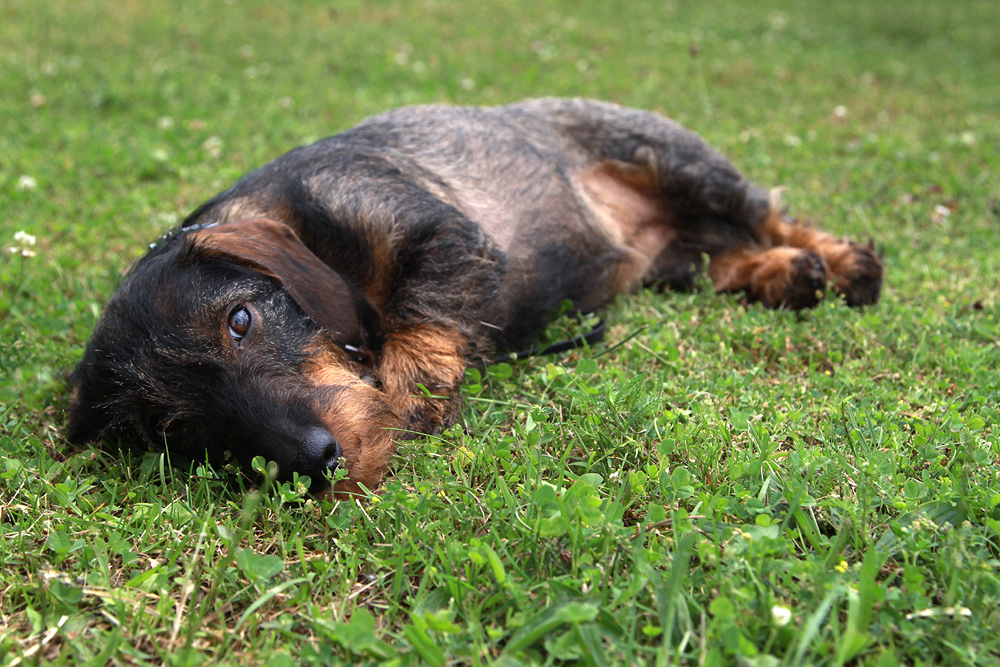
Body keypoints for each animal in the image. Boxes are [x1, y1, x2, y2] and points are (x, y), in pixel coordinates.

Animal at [68, 99, 884, 496]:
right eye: (177, 429)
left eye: (239, 319)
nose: (316, 463)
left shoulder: (446, 234)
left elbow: (418, 312)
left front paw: (412, 391)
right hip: (679, 263)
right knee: (728, 257)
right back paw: (786, 274)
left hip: (686, 167)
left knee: (769, 213)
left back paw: (844, 264)